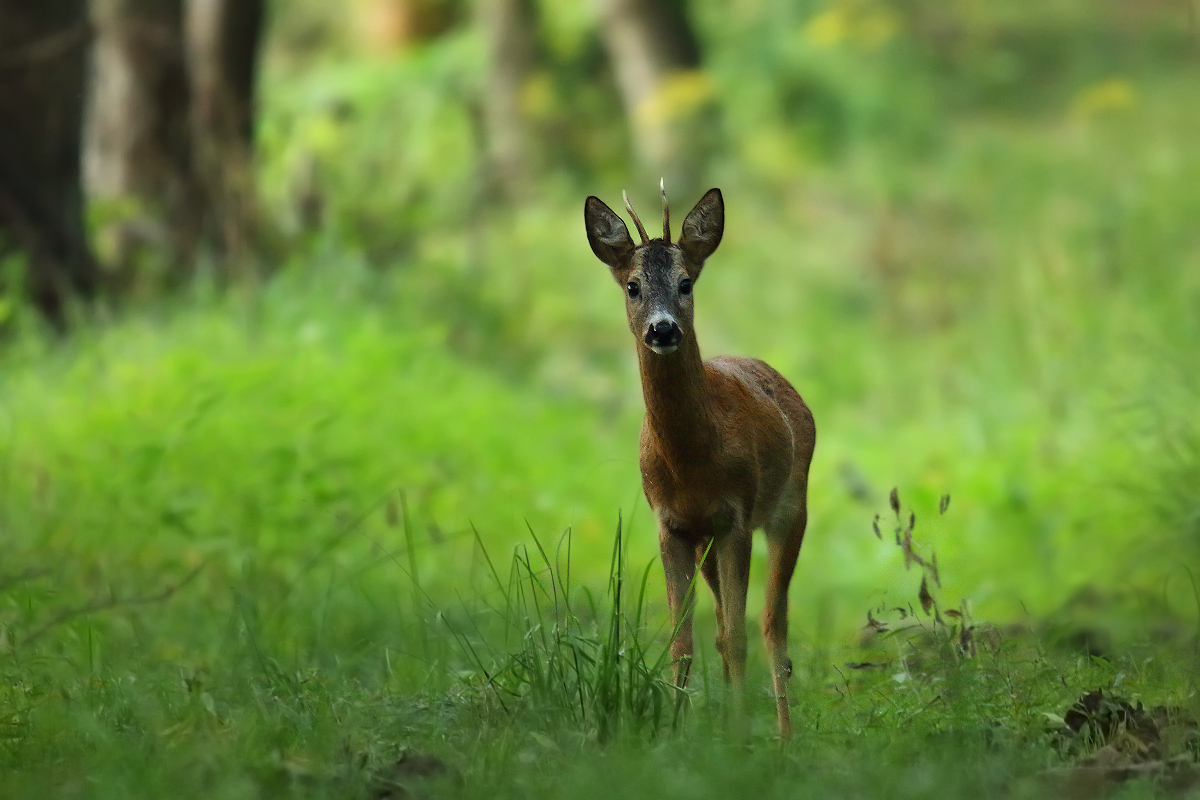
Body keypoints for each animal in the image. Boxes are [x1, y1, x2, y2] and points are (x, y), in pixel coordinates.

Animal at [580, 181, 816, 738]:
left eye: (686, 283)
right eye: (632, 286)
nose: (663, 329)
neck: (691, 462)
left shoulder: (736, 517)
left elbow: (739, 635)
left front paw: (736, 736)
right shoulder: (671, 524)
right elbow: (683, 640)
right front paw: (678, 733)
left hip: (790, 508)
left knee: (774, 626)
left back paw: (784, 734)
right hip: (711, 538)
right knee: (731, 626)